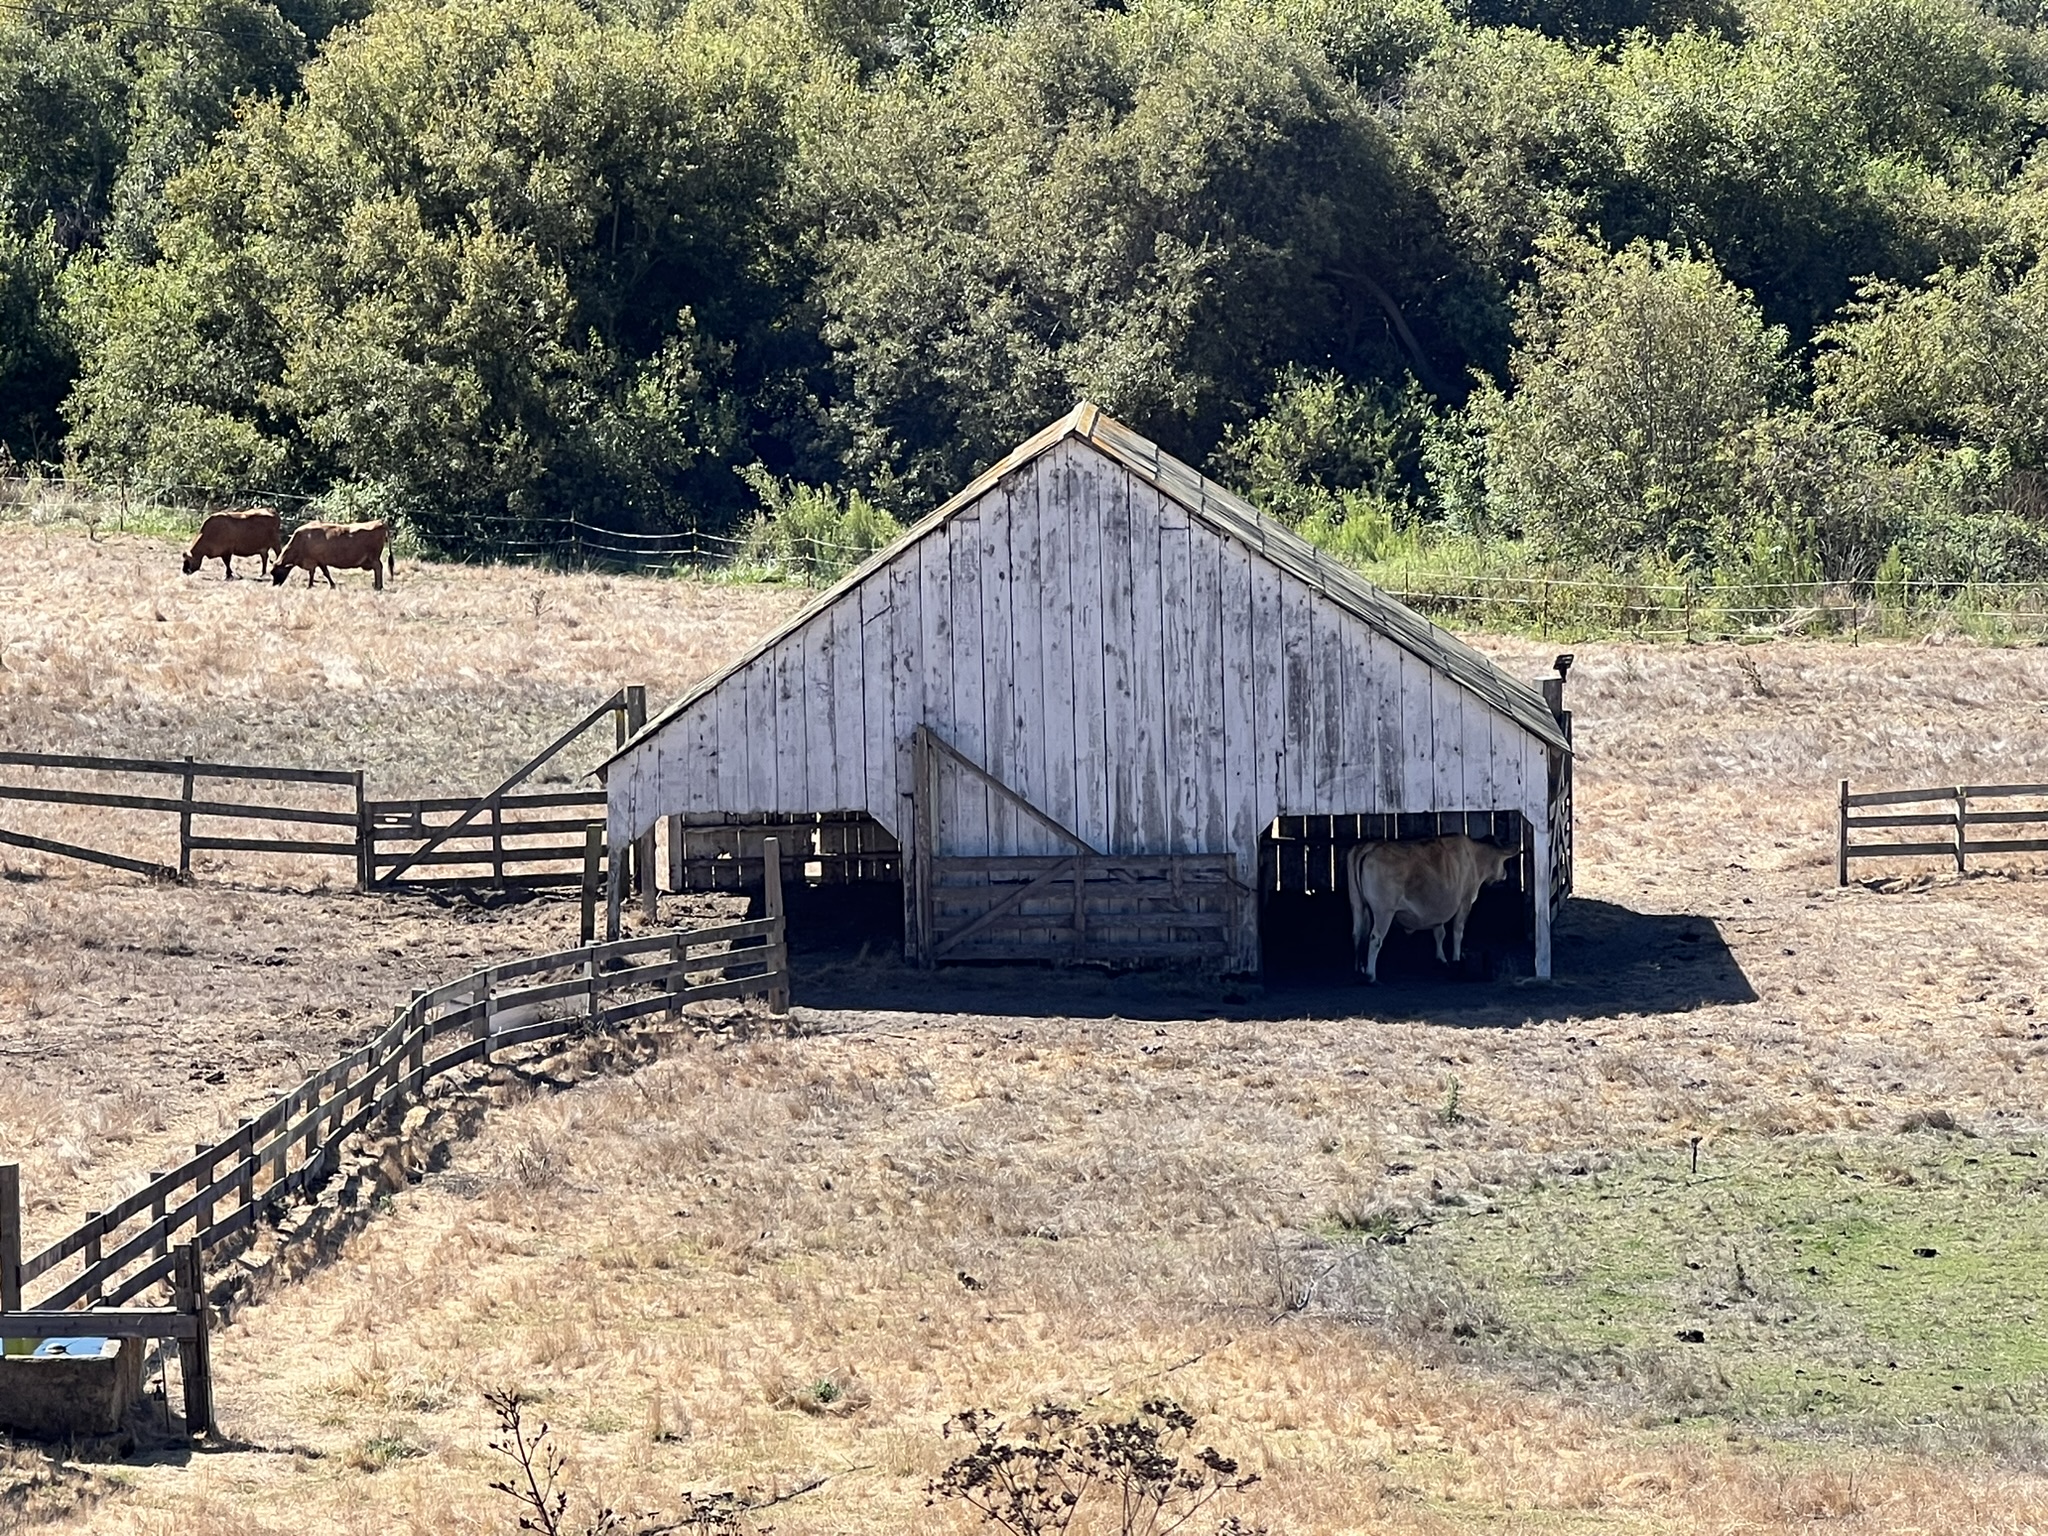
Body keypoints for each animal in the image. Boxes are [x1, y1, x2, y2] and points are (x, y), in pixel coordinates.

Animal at [1351, 843, 1515, 987]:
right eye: (1503, 862)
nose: (1505, 874)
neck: (1475, 856)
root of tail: (1369, 847)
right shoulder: (1465, 902)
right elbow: (1457, 931)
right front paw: (1456, 959)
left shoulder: (1438, 910)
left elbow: (1439, 932)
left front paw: (1441, 959)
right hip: (1384, 911)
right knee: (1375, 938)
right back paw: (1371, 976)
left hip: (1359, 907)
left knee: (1359, 935)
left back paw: (1360, 970)